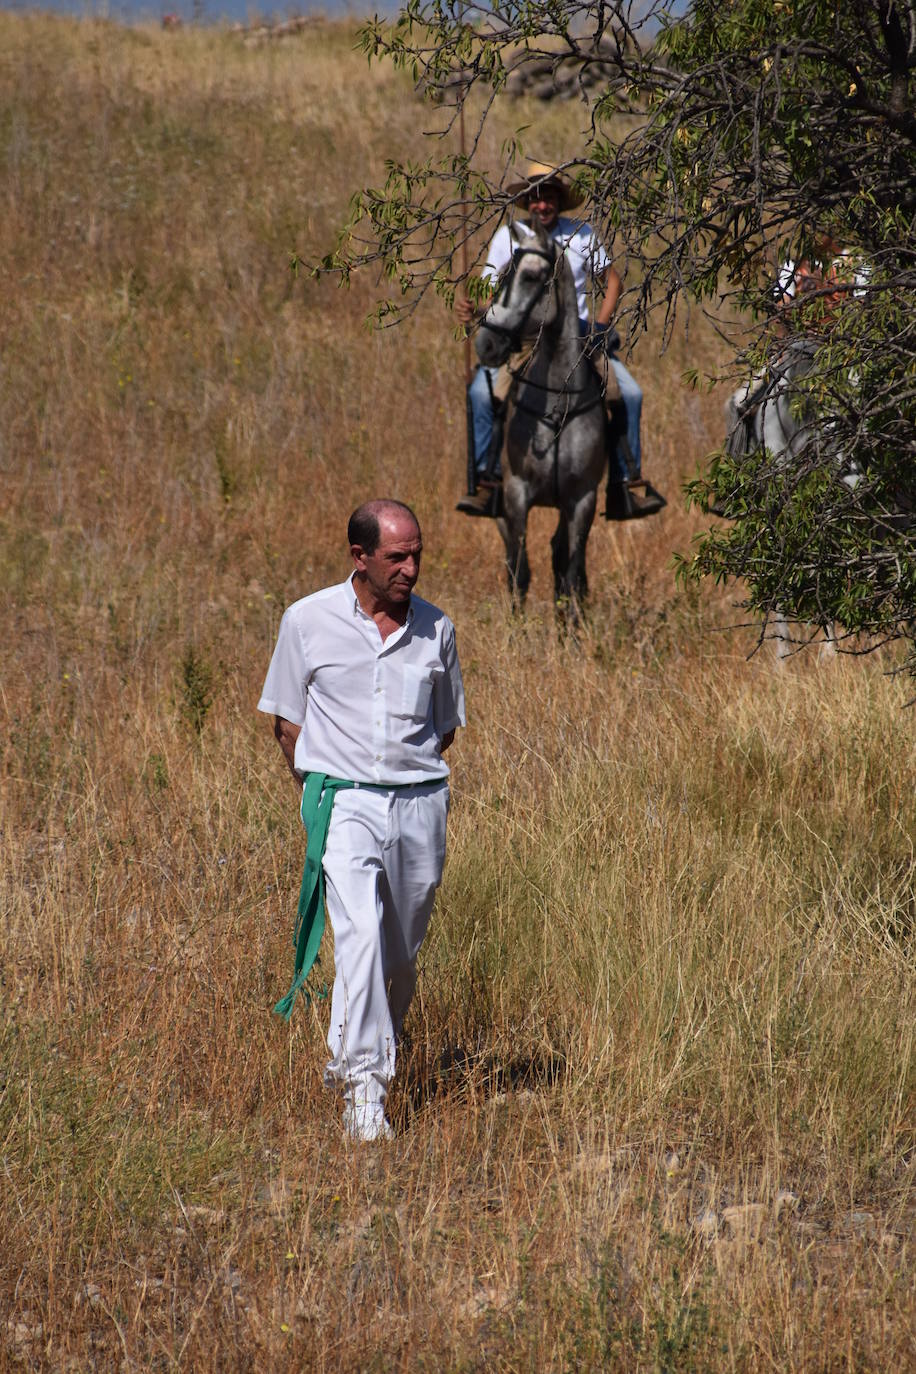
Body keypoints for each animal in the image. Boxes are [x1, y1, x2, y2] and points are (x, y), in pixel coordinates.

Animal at [472, 219, 609, 607]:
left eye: (532, 277)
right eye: (502, 274)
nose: (486, 344)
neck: (557, 407)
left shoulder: (581, 500)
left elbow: (571, 573)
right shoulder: (516, 494)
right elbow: (520, 572)